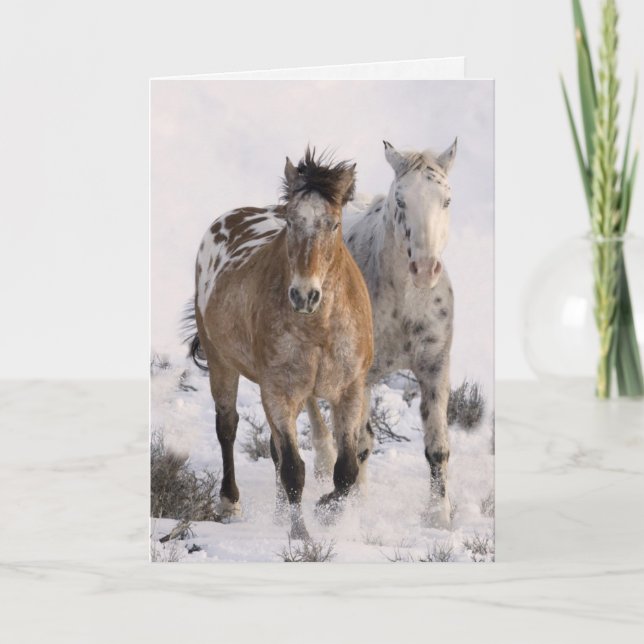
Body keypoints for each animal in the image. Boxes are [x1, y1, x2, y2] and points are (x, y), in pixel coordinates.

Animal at [189, 148, 373, 540]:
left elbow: (346, 469)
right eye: (291, 223)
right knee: (227, 428)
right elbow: (293, 469)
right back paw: (230, 502)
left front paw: (327, 512)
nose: (304, 295)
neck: (319, 329)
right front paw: (300, 534)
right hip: (220, 363)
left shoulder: (350, 390)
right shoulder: (279, 391)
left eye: (334, 224)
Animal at [307, 139, 458, 528]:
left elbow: (437, 447)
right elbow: (359, 444)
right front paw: (354, 509)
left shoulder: (435, 367)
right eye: (401, 201)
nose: (425, 269)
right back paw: (323, 465)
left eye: (446, 200)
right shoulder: (362, 376)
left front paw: (439, 517)